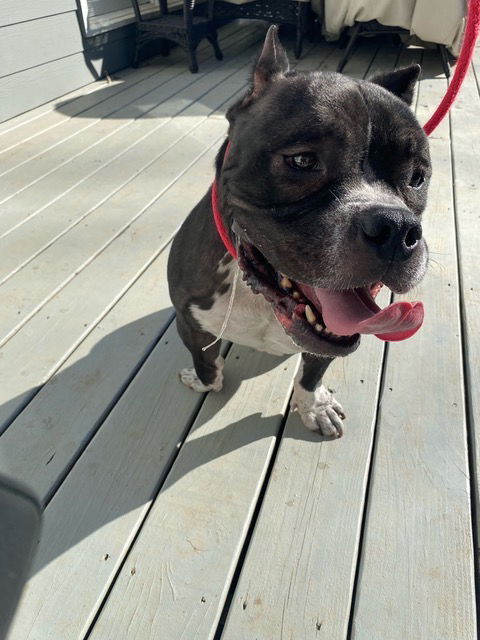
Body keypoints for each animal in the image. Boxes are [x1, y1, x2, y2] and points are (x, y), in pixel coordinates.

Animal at [167, 23, 430, 436]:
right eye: (303, 160)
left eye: (417, 178)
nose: (396, 228)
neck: (260, 296)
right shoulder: (189, 322)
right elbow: (207, 364)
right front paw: (203, 380)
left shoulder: (329, 339)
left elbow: (313, 372)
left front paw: (314, 406)